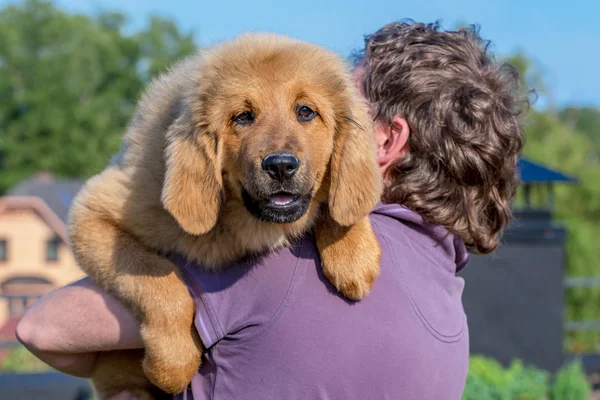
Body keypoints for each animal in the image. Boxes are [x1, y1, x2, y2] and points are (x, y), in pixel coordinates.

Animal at [68, 32, 382, 398]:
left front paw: (353, 257)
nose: (280, 165)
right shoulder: (95, 211)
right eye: (242, 117)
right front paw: (173, 365)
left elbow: (347, 199)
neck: (240, 222)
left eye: (306, 112)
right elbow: (159, 283)